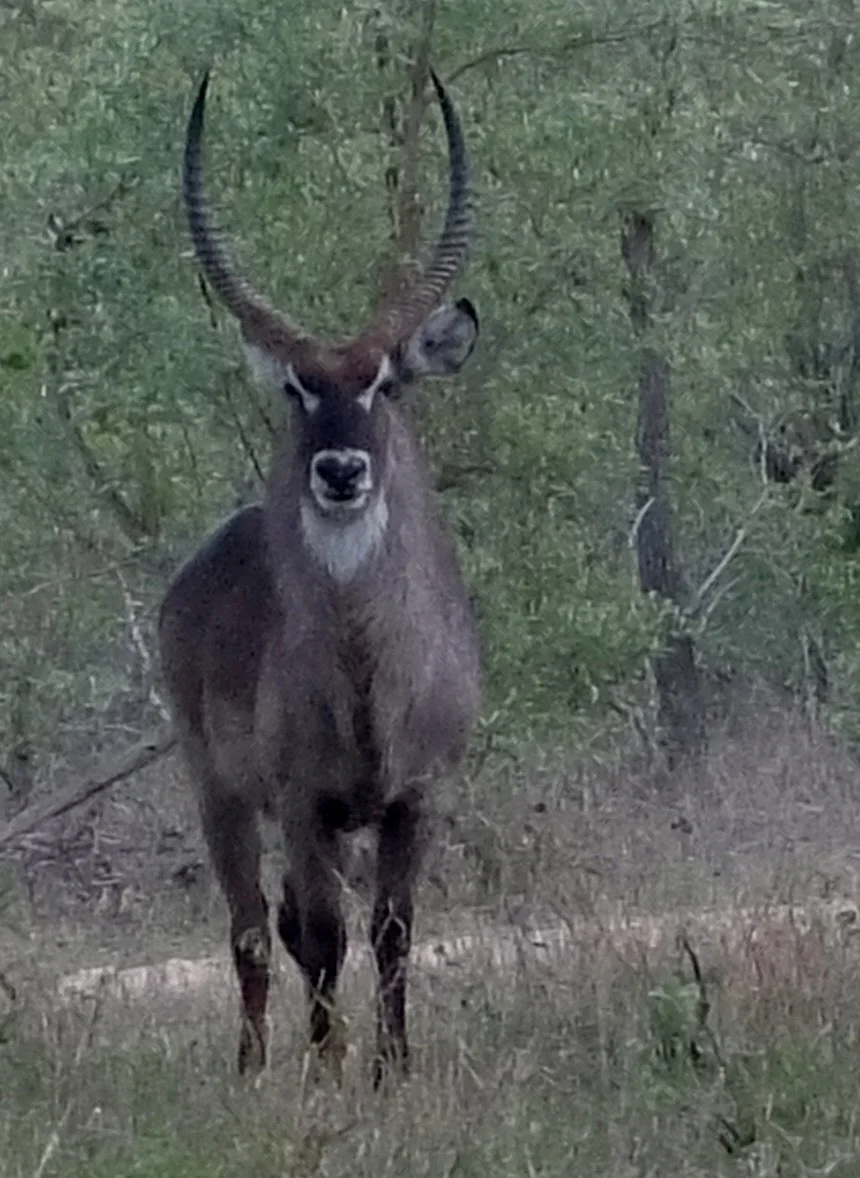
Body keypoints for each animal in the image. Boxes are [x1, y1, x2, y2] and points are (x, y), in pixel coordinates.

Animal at [158, 69, 481, 1084]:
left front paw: (393, 1070)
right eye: (299, 387)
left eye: (383, 381)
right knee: (256, 929)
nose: (340, 471)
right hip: (217, 789)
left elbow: (394, 931)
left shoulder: (418, 798)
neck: (369, 673)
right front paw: (333, 1073)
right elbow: (324, 936)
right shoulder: (303, 804)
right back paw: (257, 1066)